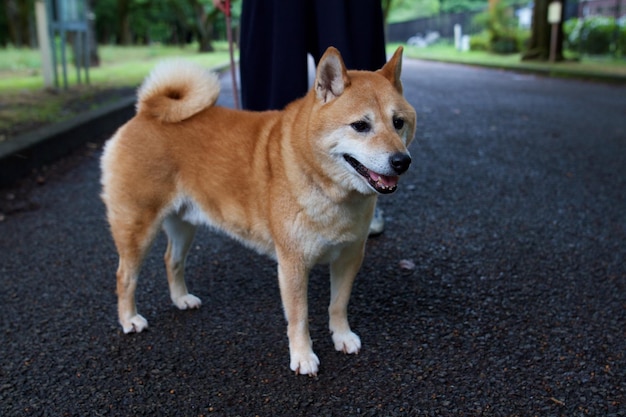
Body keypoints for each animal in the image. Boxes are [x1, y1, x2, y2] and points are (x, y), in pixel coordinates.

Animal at [100, 45, 414, 374]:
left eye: (398, 122)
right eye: (360, 126)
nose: (401, 161)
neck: (328, 189)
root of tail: (145, 112)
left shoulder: (349, 256)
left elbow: (338, 305)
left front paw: (342, 337)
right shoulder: (292, 264)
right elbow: (299, 317)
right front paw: (303, 356)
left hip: (183, 225)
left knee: (171, 260)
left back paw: (181, 299)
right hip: (137, 227)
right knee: (125, 276)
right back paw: (129, 319)